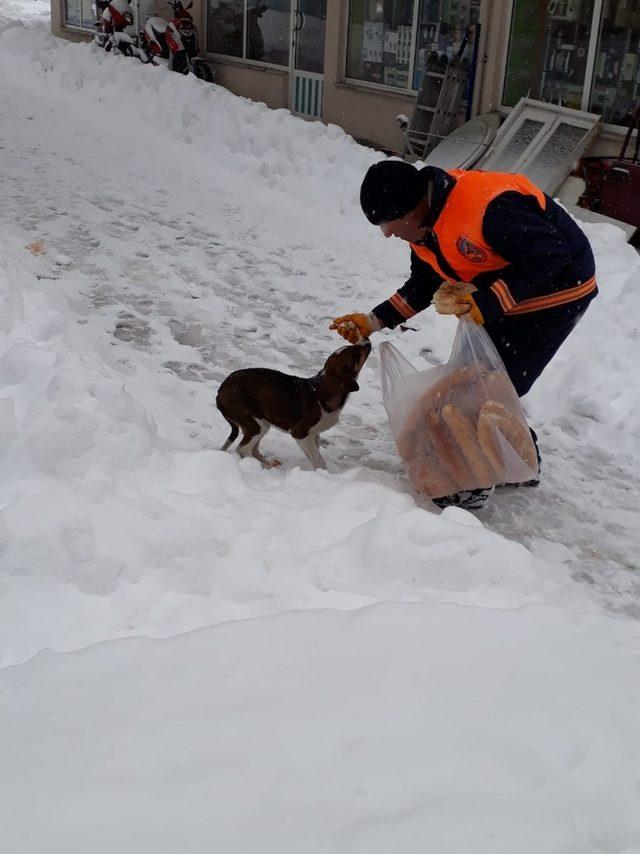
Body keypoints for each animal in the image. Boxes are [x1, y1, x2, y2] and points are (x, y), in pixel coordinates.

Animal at [218, 342, 372, 472]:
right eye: (355, 354)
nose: (367, 341)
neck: (323, 390)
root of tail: (221, 390)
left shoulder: (312, 435)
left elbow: (314, 452)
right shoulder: (299, 433)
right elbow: (318, 459)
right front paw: (323, 474)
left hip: (261, 424)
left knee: (253, 450)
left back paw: (268, 464)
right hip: (257, 425)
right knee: (243, 449)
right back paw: (265, 467)